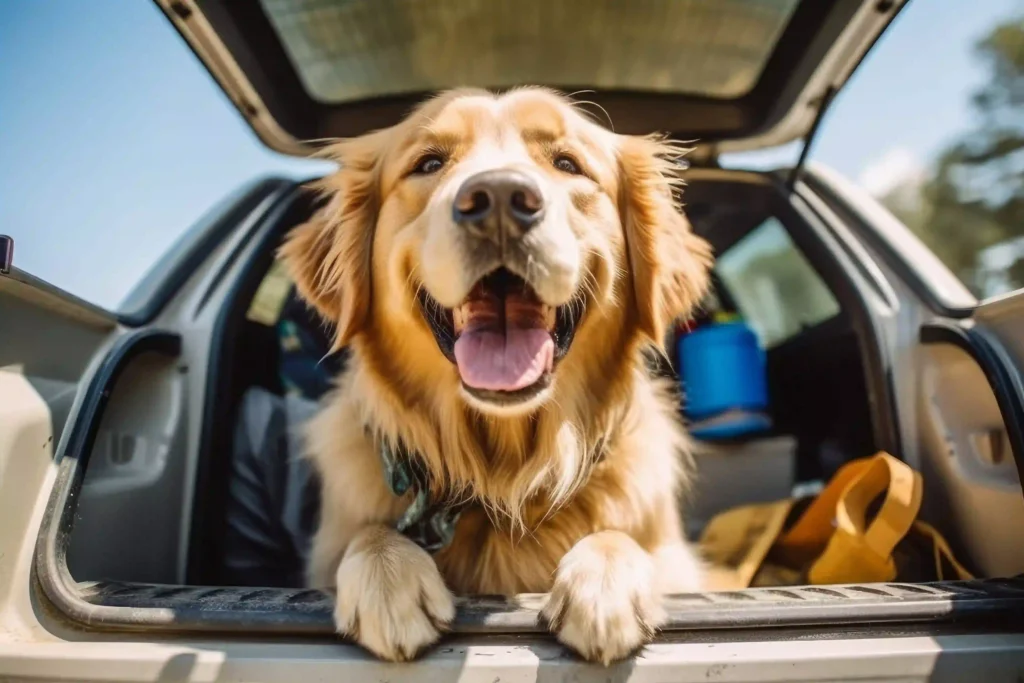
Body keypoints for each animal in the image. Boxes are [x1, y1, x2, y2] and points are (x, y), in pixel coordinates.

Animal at [278, 83, 712, 663]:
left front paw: (604, 583)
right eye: (429, 163)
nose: (501, 198)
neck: (503, 473)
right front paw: (388, 576)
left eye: (567, 163)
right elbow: (368, 535)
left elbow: (624, 540)